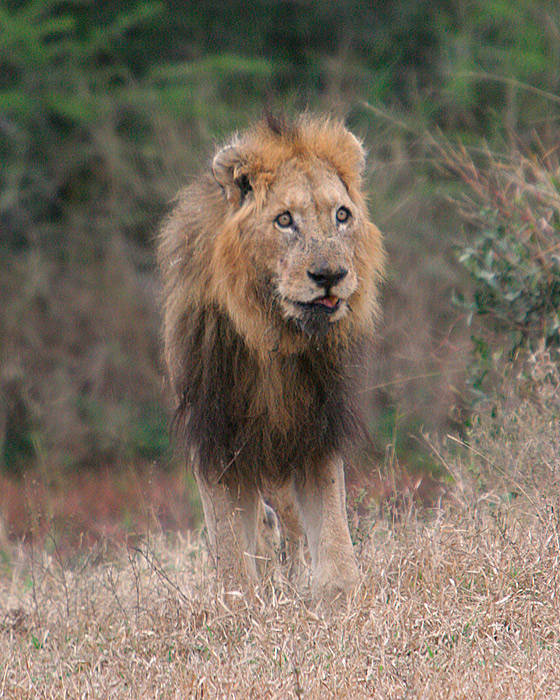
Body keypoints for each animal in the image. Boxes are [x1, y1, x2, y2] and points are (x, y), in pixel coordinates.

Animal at [158, 112, 384, 600]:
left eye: (342, 215)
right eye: (284, 220)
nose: (329, 275)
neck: (274, 336)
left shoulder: (315, 427)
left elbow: (329, 523)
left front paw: (338, 594)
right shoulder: (215, 432)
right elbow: (228, 537)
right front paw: (239, 602)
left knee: (289, 522)